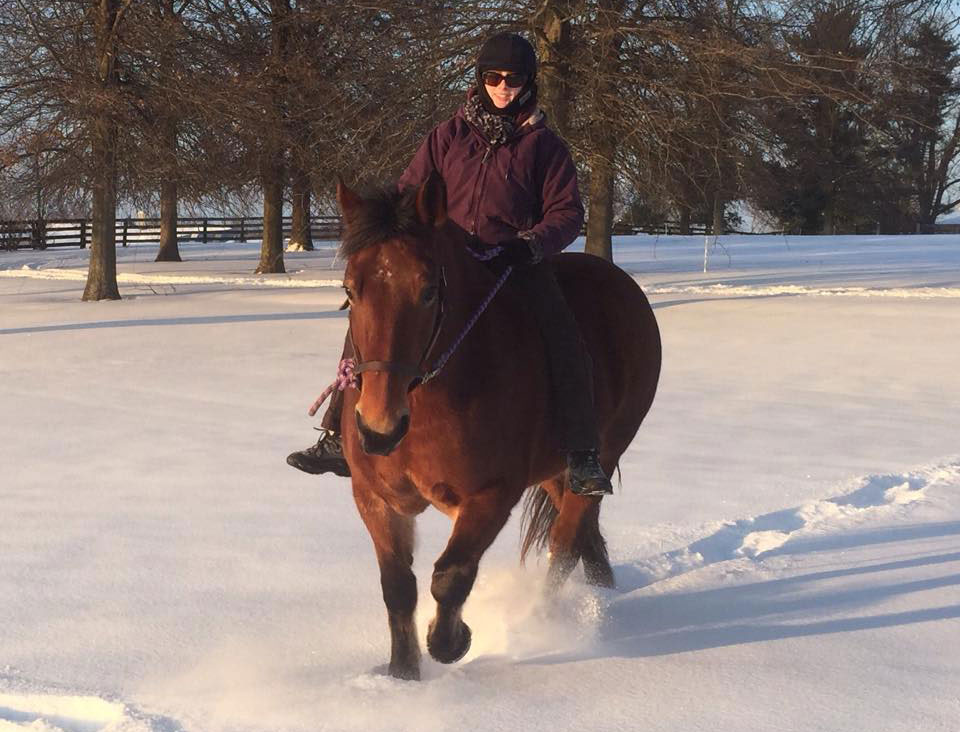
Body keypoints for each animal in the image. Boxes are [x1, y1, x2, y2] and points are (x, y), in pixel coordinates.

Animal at [332, 173, 660, 680]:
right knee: (583, 536)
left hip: (605, 451)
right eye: (351, 290)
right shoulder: (375, 498)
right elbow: (398, 587)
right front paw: (403, 676)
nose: (378, 428)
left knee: (565, 542)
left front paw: (451, 642)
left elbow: (450, 575)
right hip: (554, 471)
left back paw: (542, 622)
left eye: (428, 291)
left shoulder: (491, 496)